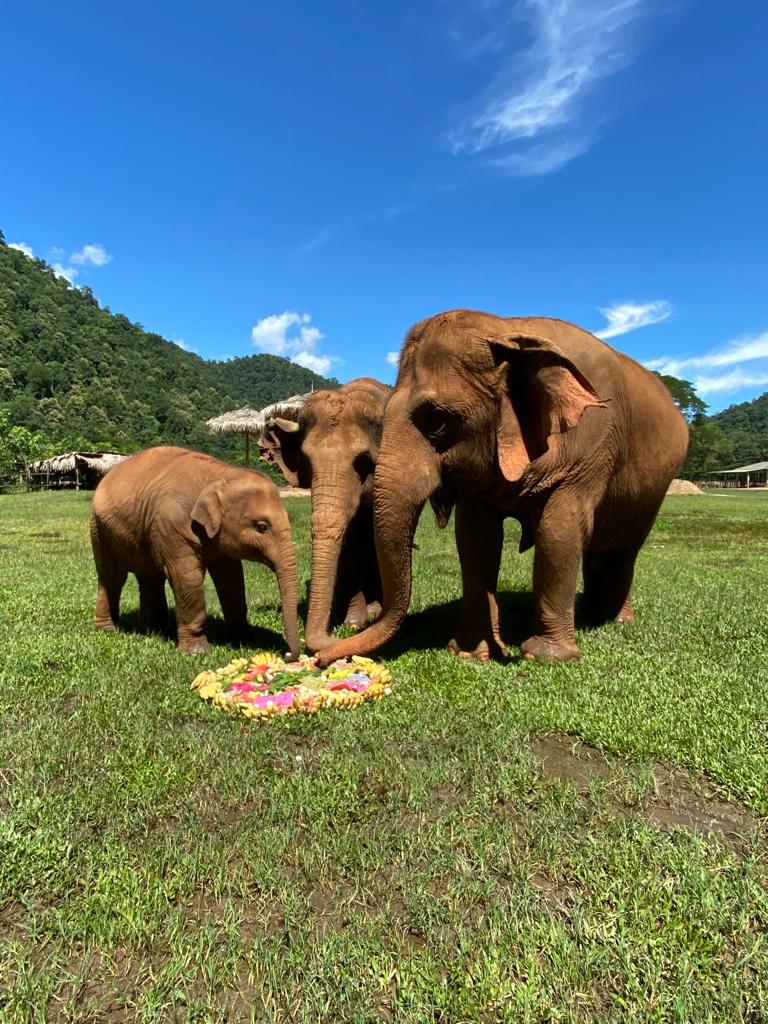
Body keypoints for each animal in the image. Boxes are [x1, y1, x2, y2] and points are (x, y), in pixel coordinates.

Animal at [90, 446, 300, 657]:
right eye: (262, 527)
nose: (289, 655)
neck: (222, 475)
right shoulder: (173, 525)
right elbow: (187, 577)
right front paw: (197, 652)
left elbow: (232, 577)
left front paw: (245, 640)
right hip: (99, 529)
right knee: (112, 577)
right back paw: (108, 630)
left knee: (150, 578)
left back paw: (154, 630)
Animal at [258, 377, 392, 652]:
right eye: (306, 461)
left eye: (363, 462)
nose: (333, 640)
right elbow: (350, 542)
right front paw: (352, 622)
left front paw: (359, 622)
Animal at [316, 310, 689, 665]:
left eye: (436, 420)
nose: (320, 656)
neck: (506, 328)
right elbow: (475, 537)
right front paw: (470, 653)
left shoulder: (592, 442)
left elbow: (559, 528)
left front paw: (542, 657)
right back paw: (590, 615)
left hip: (653, 490)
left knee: (622, 550)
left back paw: (616, 620)